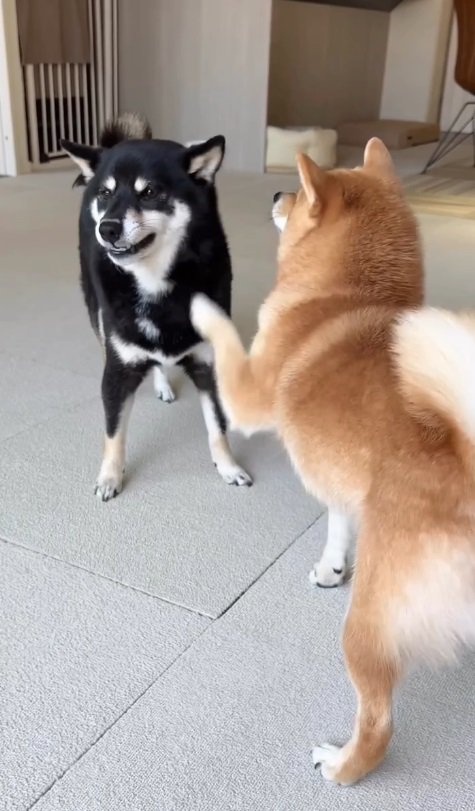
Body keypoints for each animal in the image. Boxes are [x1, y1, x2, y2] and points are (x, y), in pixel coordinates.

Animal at [63, 114, 253, 502]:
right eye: (106, 193)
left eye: (149, 192)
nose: (107, 228)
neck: (154, 283)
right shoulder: (117, 373)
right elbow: (114, 433)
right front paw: (110, 477)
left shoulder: (209, 363)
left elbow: (217, 427)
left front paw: (228, 467)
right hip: (95, 310)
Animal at [192, 141, 475, 788]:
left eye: (296, 194)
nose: (276, 193)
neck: (346, 296)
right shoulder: (347, 490)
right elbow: (339, 528)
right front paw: (330, 567)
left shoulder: (245, 393)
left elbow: (224, 337)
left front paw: (200, 307)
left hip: (366, 630)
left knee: (378, 723)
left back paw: (343, 766)